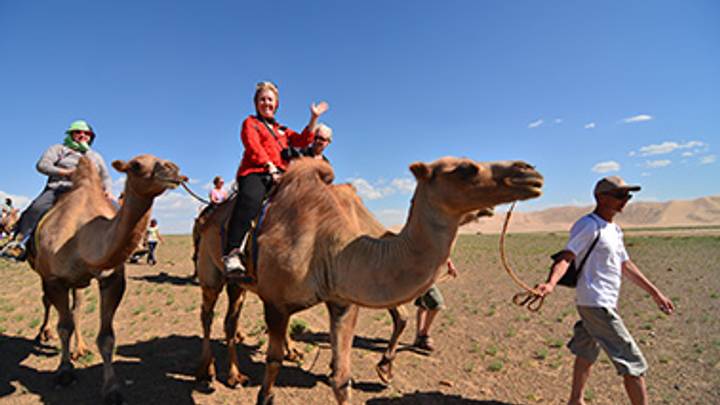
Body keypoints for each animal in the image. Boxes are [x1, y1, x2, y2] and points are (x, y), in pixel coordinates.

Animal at [27, 154, 184, 404]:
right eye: (136, 165)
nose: (174, 169)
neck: (80, 237)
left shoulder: (112, 279)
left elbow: (106, 337)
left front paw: (111, 389)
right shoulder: (53, 279)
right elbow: (64, 327)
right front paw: (64, 371)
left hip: (77, 282)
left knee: (76, 308)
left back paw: (80, 349)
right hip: (43, 272)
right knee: (48, 302)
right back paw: (43, 334)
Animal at [194, 156, 543, 404]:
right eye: (466, 168)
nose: (530, 173)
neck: (331, 245)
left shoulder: (342, 300)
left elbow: (342, 379)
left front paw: (373, 370)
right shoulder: (277, 302)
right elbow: (273, 365)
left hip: (241, 283)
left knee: (230, 320)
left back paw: (236, 374)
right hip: (211, 271)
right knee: (208, 314)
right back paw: (207, 371)